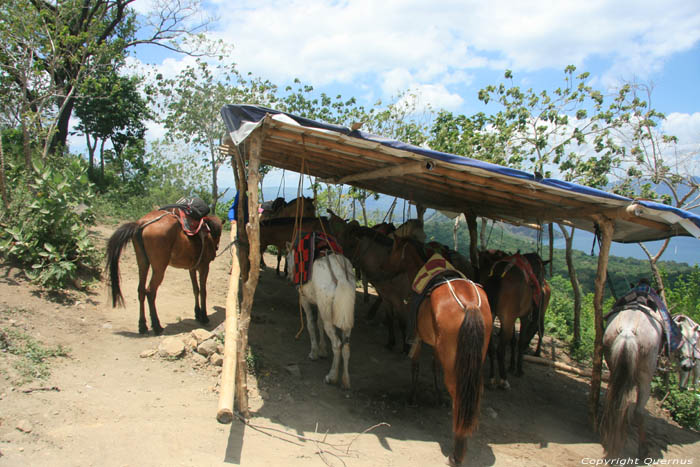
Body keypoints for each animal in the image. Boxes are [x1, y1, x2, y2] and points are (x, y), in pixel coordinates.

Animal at [284, 234, 356, 392]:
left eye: (287, 258)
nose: (289, 278)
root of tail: (340, 277)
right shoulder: (321, 306)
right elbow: (319, 324)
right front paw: (323, 350)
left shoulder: (305, 300)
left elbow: (311, 324)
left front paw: (314, 352)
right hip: (344, 316)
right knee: (346, 346)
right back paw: (346, 381)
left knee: (337, 344)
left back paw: (332, 377)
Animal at [380, 239, 490, 466]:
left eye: (393, 249)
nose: (383, 268)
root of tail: (471, 305)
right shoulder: (437, 346)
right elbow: (433, 366)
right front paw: (438, 397)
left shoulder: (419, 337)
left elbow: (416, 364)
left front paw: (412, 397)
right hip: (473, 360)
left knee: (458, 394)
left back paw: (456, 453)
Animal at [600, 284, 664, 458]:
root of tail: (627, 332)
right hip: (645, 375)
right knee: (638, 411)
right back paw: (643, 449)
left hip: (613, 361)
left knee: (616, 399)